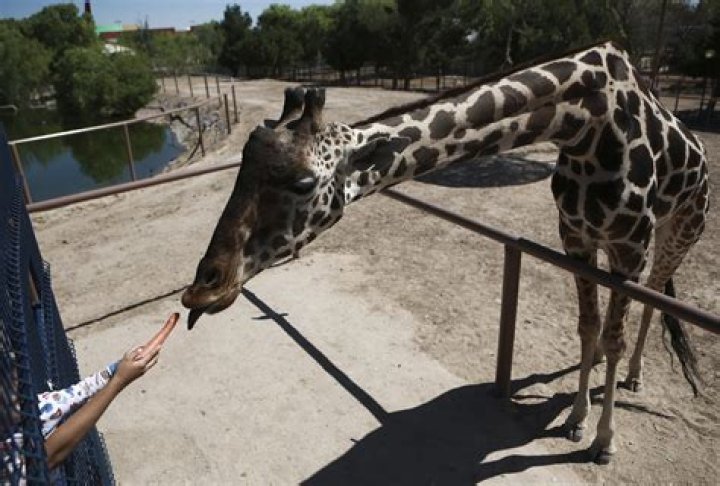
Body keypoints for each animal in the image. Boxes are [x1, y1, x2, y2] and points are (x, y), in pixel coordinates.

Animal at [181, 41, 710, 464]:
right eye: (241, 168)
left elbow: (618, 333)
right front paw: (578, 418)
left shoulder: (629, 246)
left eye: (304, 183)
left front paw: (603, 440)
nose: (203, 289)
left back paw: (635, 377)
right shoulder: (575, 240)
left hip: (676, 232)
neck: (585, 128)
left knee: (655, 297)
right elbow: (585, 327)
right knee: (613, 321)